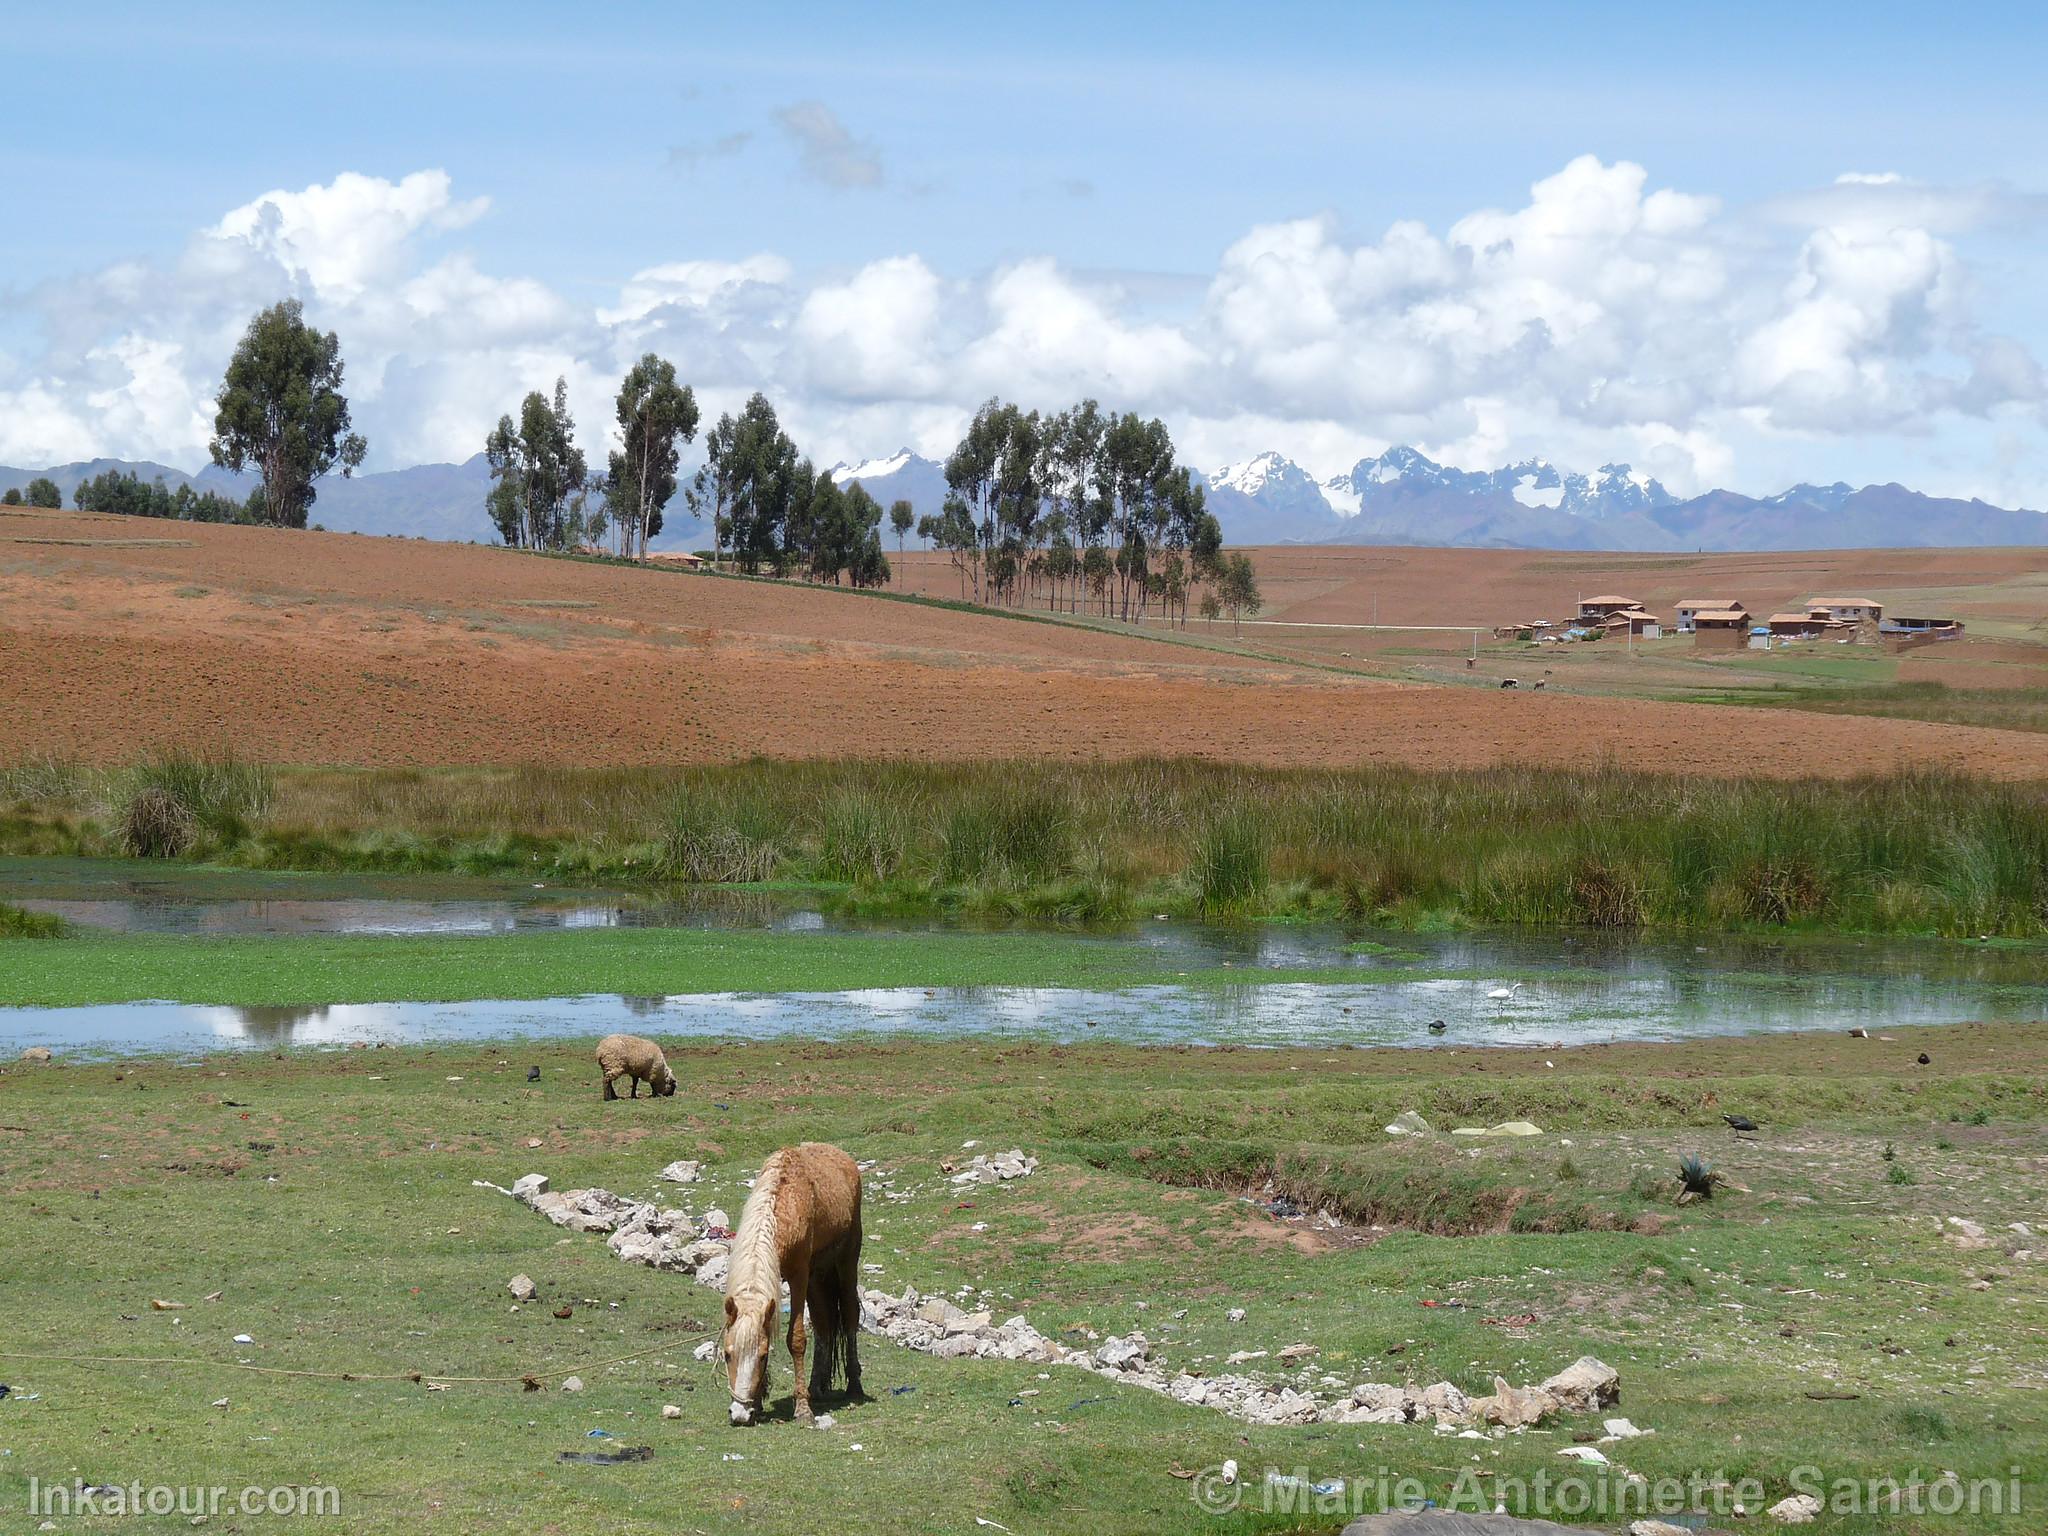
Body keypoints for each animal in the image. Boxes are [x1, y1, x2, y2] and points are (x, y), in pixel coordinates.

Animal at [720, 1146, 864, 1433]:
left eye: (763, 1356)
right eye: (728, 1355)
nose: (739, 1414)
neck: (782, 1207)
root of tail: (843, 1158)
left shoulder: (798, 1277)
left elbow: (796, 1339)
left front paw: (802, 1409)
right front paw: (758, 1403)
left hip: (846, 1261)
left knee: (850, 1315)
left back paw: (854, 1386)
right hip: (818, 1276)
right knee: (823, 1324)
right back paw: (816, 1386)